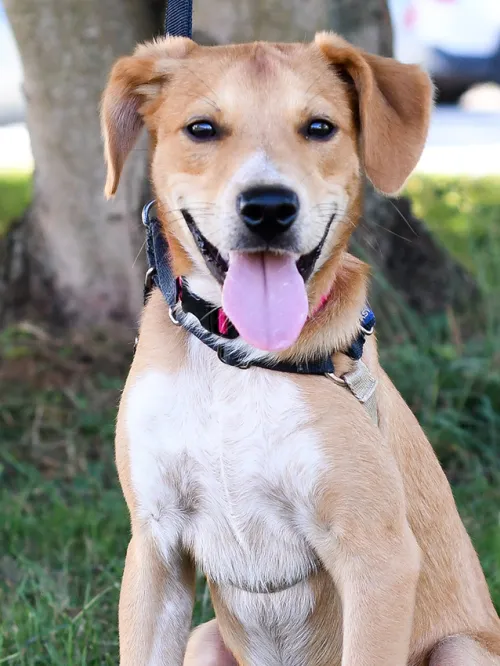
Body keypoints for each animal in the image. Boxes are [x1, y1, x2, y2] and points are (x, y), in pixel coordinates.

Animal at [100, 32, 500, 664]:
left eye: (319, 127)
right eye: (201, 129)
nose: (268, 207)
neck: (236, 362)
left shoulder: (377, 555)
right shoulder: (154, 550)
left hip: (460, 647)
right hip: (204, 637)